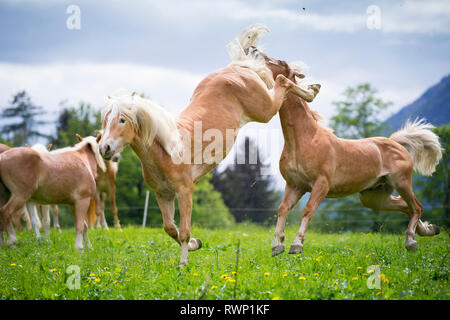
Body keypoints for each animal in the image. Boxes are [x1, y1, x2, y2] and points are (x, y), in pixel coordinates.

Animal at [98, 24, 320, 268]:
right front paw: (196, 244)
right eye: (105, 120)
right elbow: (170, 228)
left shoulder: (185, 191)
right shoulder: (163, 194)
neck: (169, 148)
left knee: (282, 80)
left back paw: (312, 90)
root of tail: (238, 67)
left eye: (122, 120)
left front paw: (183, 264)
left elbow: (183, 231)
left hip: (265, 110)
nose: (104, 149)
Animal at [243, 35, 442, 255]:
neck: (304, 139)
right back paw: (429, 230)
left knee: (416, 206)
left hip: (402, 182)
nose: (251, 48)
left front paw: (296, 245)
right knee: (405, 206)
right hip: (374, 196)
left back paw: (411, 241)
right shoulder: (295, 185)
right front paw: (277, 245)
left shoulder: (321, 184)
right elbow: (282, 209)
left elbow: (308, 210)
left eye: (280, 62)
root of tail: (395, 143)